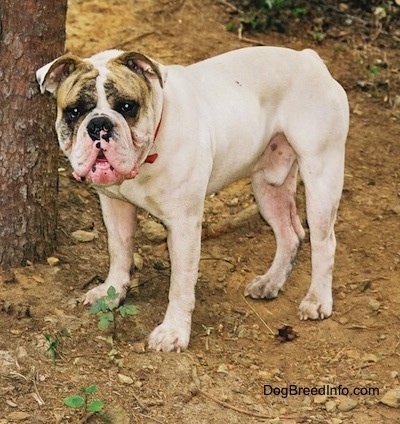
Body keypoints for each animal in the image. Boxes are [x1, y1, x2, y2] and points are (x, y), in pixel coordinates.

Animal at [37, 46, 350, 352]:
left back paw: (317, 299)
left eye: (127, 107)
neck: (150, 150)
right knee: (290, 234)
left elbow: (181, 283)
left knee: (325, 243)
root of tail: (309, 58)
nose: (99, 125)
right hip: (267, 186)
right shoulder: (114, 206)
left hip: (322, 175)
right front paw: (111, 292)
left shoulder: (184, 225)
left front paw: (173, 331)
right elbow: (119, 251)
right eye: (74, 111)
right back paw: (270, 282)